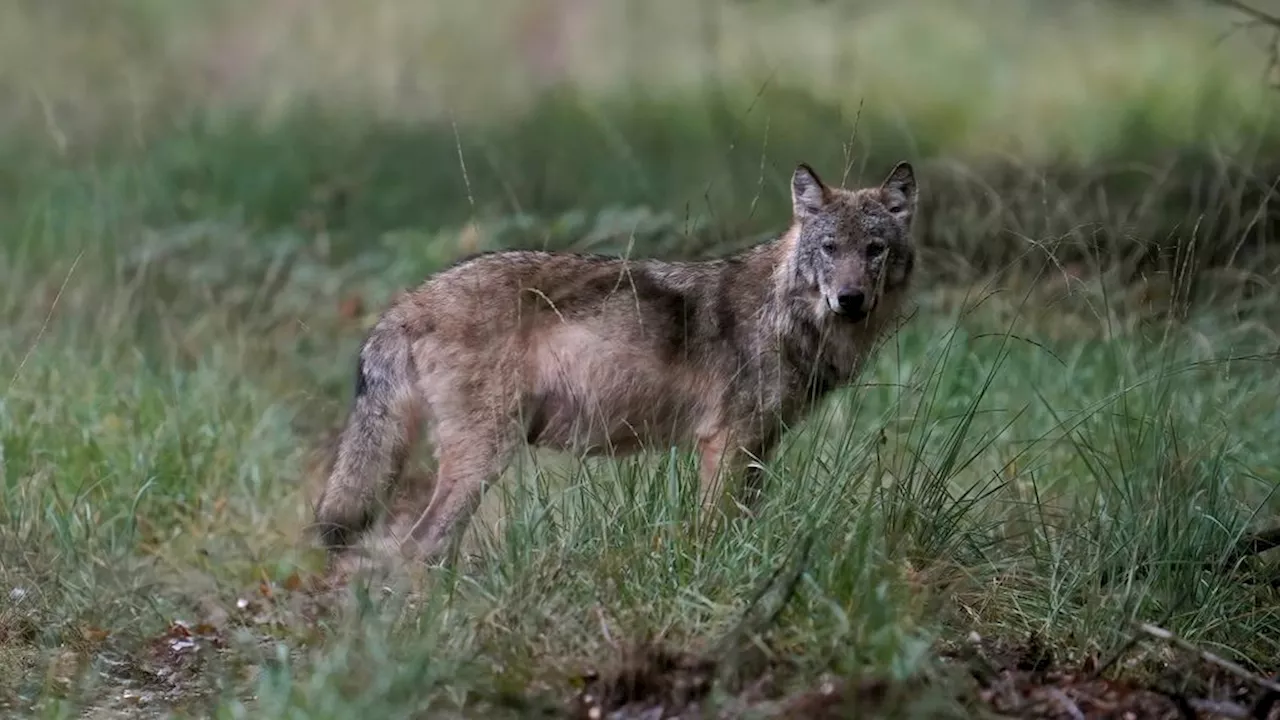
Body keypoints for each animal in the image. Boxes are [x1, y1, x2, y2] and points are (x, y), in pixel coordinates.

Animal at [311, 161, 921, 561]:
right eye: (829, 249)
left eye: (874, 249)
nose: (850, 299)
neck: (786, 314)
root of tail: (409, 300)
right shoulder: (725, 442)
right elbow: (713, 531)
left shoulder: (759, 448)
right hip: (483, 457)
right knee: (418, 547)